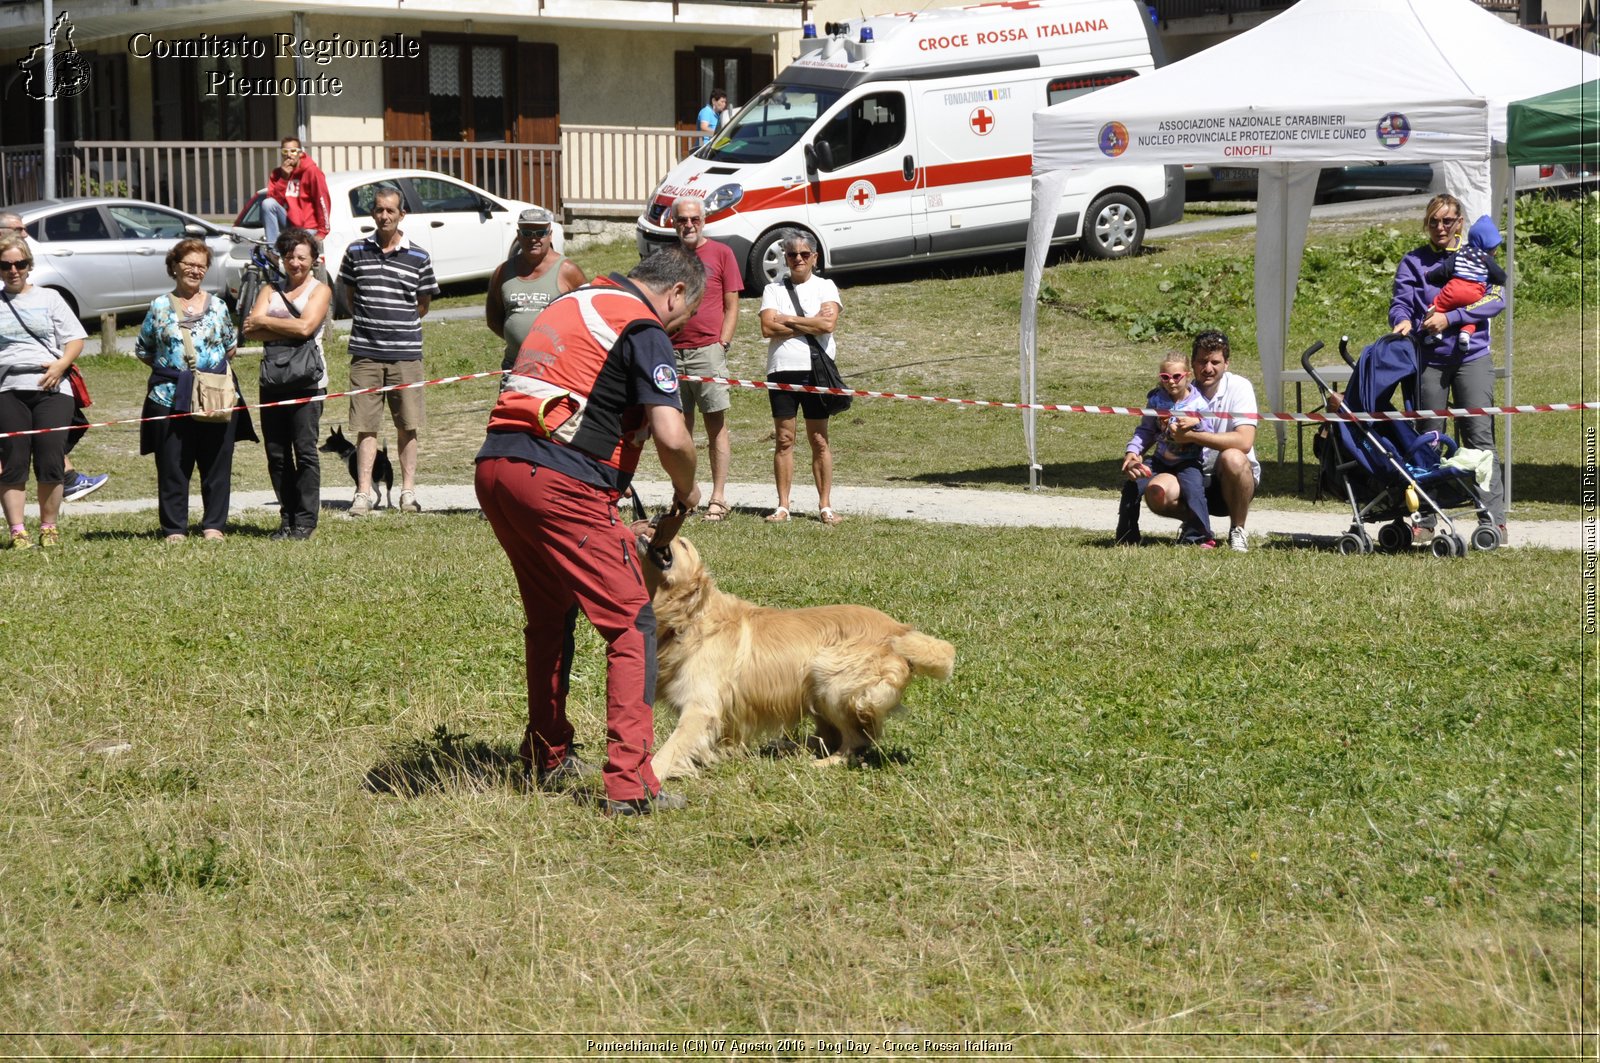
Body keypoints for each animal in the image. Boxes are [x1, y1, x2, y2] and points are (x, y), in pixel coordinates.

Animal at [636, 534, 953, 778]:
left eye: (683, 544)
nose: (654, 519)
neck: (690, 616)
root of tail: (899, 630)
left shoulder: (701, 707)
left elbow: (671, 748)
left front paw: (649, 778)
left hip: (830, 678)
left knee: (856, 740)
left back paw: (824, 762)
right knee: (831, 736)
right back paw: (790, 747)